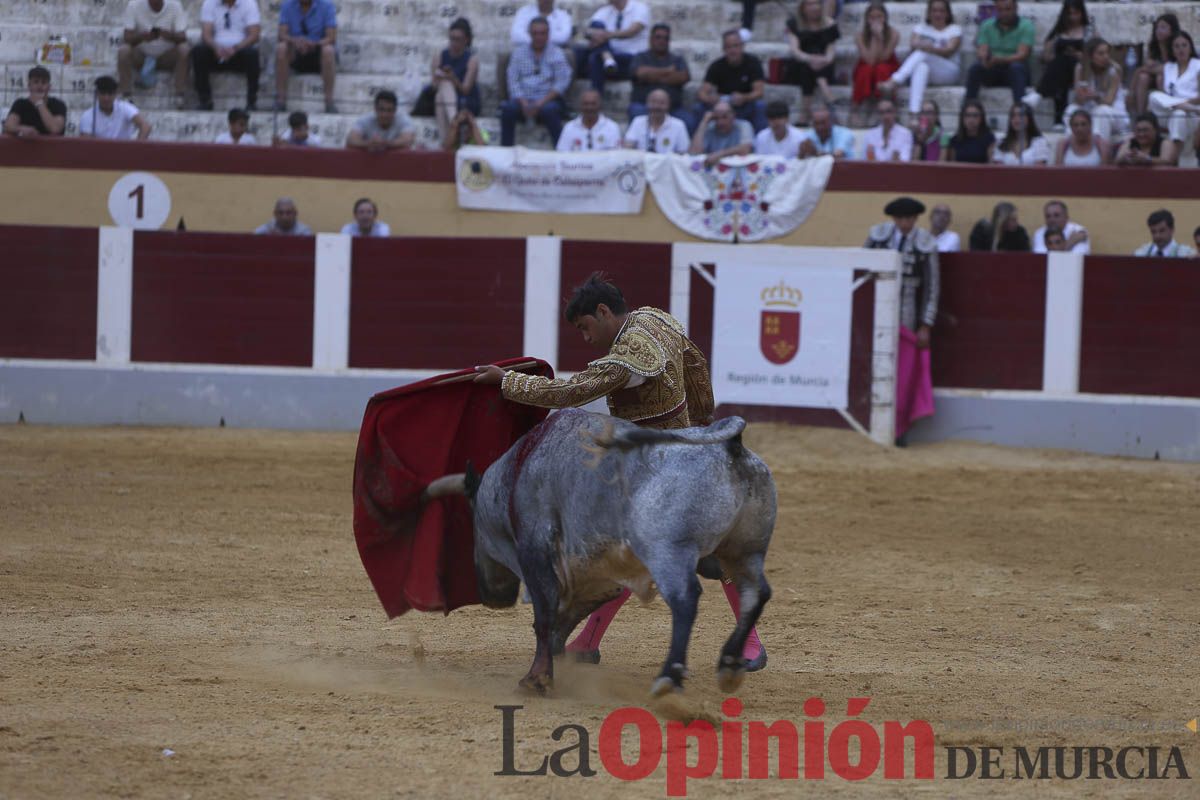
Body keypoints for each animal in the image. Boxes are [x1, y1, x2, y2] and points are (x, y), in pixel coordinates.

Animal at [422, 410, 777, 695]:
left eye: (473, 528)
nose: (492, 595)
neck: (517, 473)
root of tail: (730, 447)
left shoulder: (537, 549)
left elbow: (544, 616)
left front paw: (537, 679)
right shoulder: (596, 570)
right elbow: (570, 613)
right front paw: (559, 657)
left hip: (668, 552)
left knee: (686, 599)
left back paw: (669, 677)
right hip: (744, 552)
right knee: (754, 593)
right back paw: (730, 665)